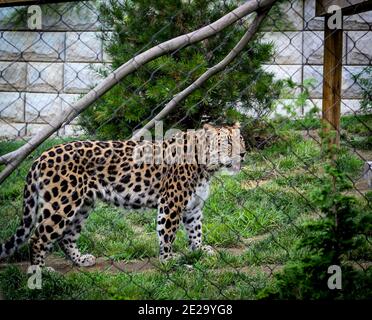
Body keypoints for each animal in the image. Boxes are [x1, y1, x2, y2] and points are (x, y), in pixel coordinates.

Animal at [0, 122, 246, 268]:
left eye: (241, 139)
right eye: (228, 143)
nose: (243, 153)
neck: (207, 167)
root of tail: (41, 156)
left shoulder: (193, 207)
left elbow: (196, 231)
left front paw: (200, 251)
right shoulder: (171, 204)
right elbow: (167, 234)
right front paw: (168, 260)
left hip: (82, 205)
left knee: (66, 238)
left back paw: (81, 260)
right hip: (61, 204)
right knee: (38, 238)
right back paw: (41, 273)